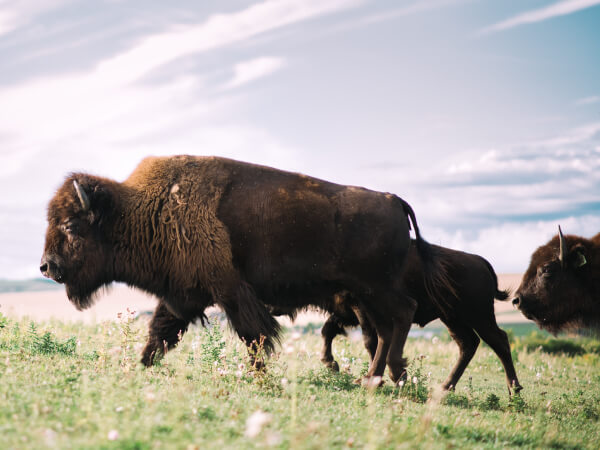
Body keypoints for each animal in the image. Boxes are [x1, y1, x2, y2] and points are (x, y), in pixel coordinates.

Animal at [39, 156, 452, 384]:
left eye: (71, 225)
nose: (46, 266)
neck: (142, 210)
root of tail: (393, 200)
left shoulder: (230, 292)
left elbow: (254, 336)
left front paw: (260, 374)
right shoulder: (183, 296)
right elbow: (159, 333)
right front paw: (141, 366)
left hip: (375, 290)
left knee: (401, 315)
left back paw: (386, 376)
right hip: (366, 297)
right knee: (384, 330)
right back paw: (381, 377)